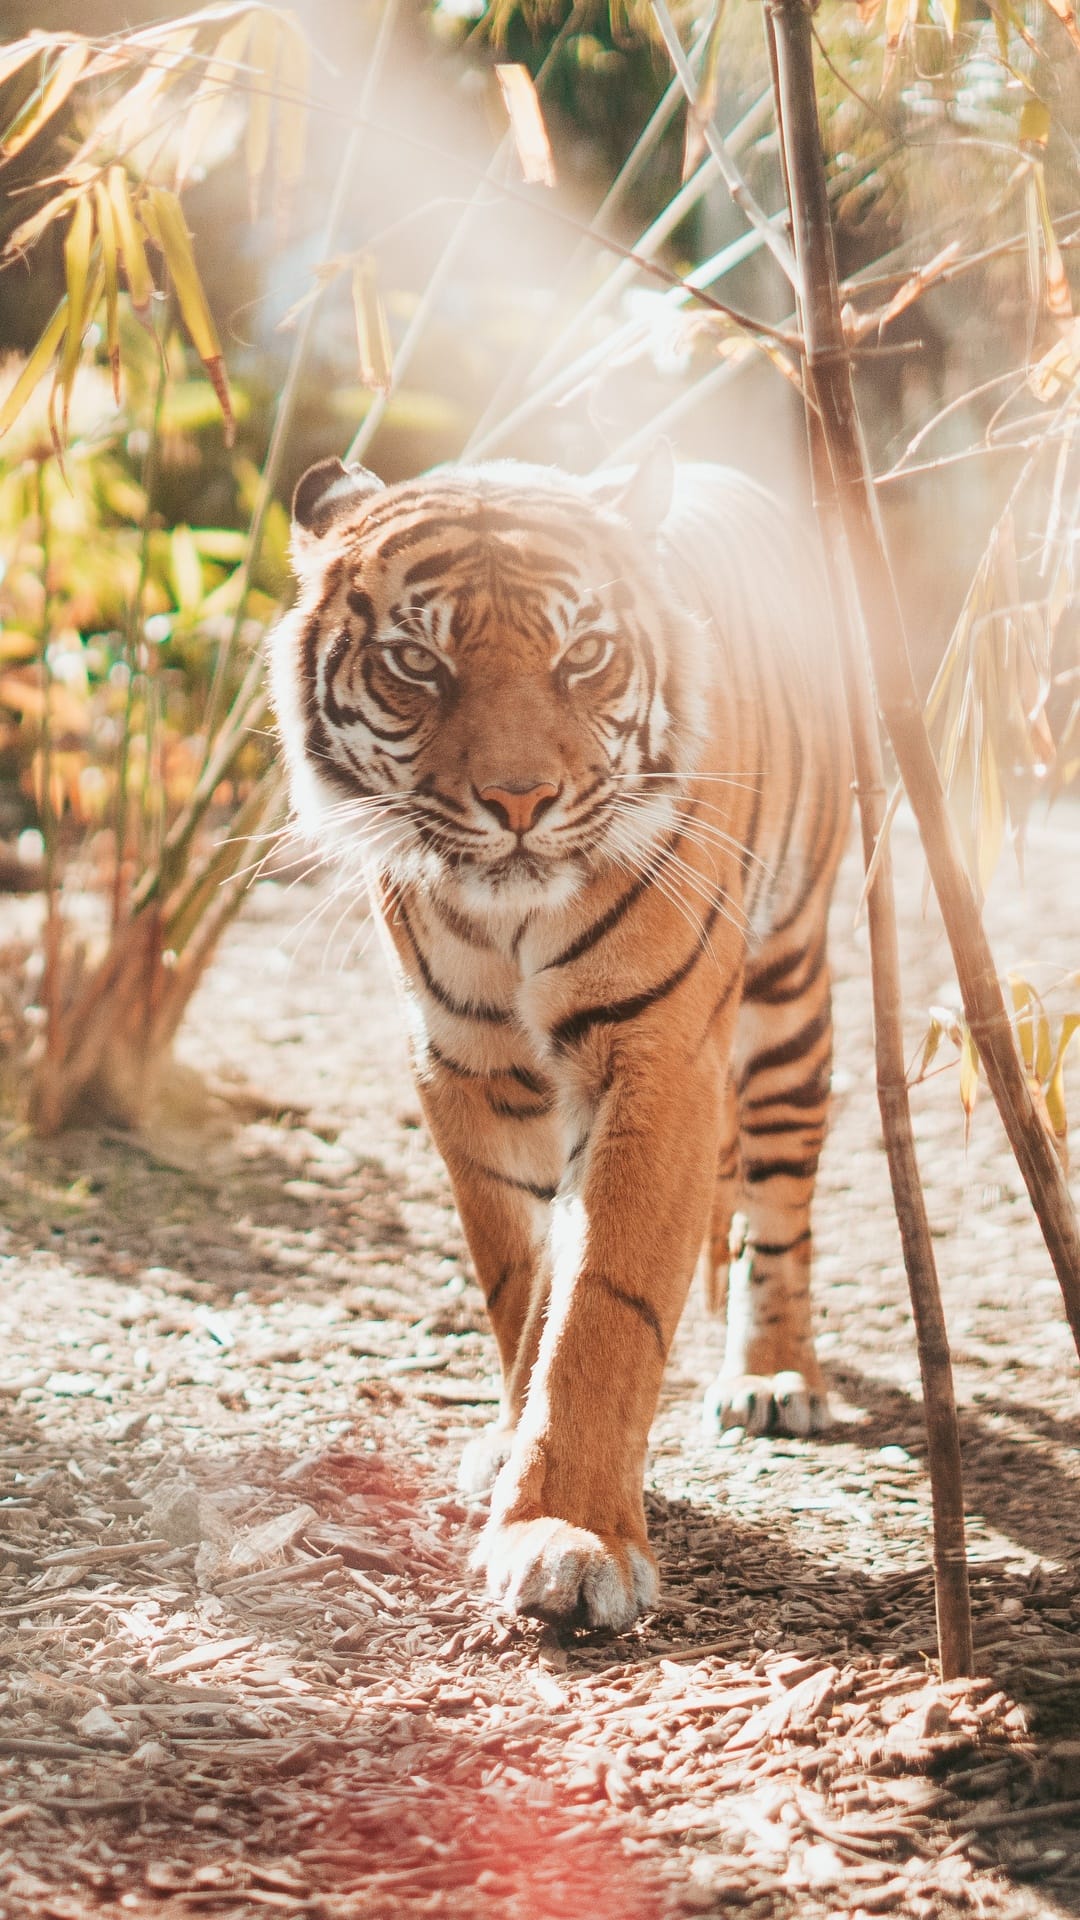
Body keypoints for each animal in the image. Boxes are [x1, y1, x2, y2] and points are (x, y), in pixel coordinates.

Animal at [270, 445, 849, 1631]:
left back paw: (774, 1376)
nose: (520, 800)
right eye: (417, 662)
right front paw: (511, 1449)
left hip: (787, 997)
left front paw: (570, 1536)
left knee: (779, 1204)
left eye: (582, 656)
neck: (508, 921)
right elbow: (522, 1284)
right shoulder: (464, 1067)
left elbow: (602, 1306)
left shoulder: (656, 1058)